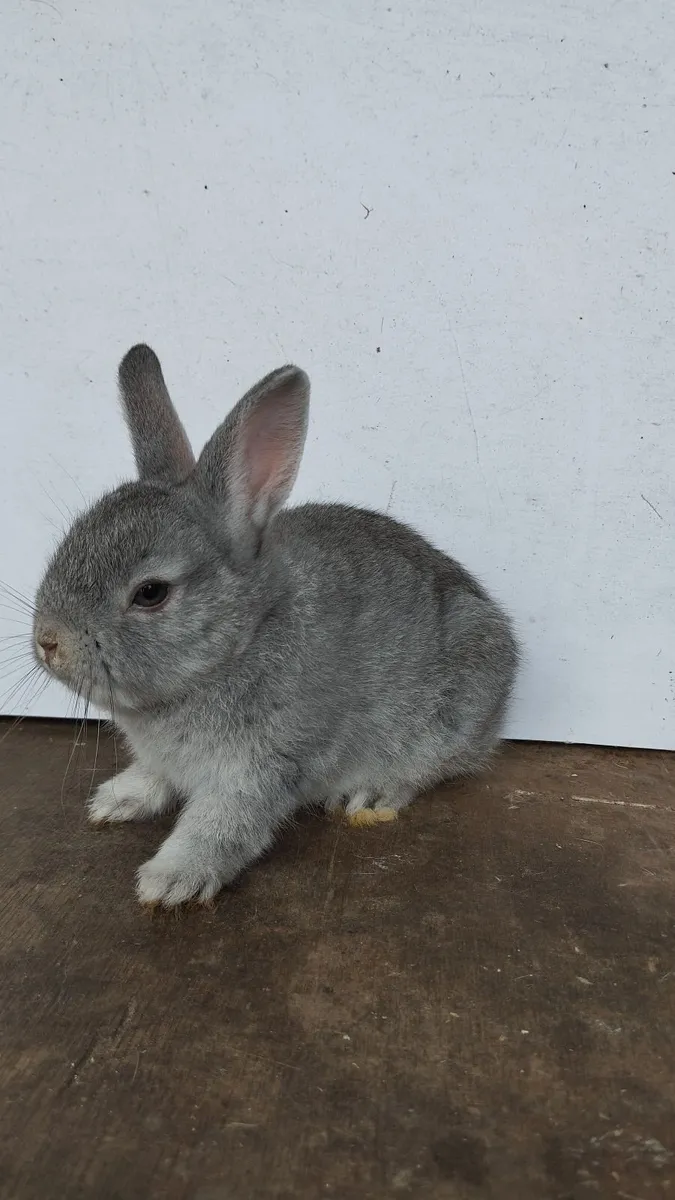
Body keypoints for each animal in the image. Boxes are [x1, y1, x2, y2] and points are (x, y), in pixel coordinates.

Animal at [33, 345, 519, 908]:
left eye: (151, 593)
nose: (48, 642)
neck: (237, 647)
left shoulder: (264, 765)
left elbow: (221, 825)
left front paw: (170, 879)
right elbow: (155, 777)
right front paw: (115, 800)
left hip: (456, 701)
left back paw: (372, 792)